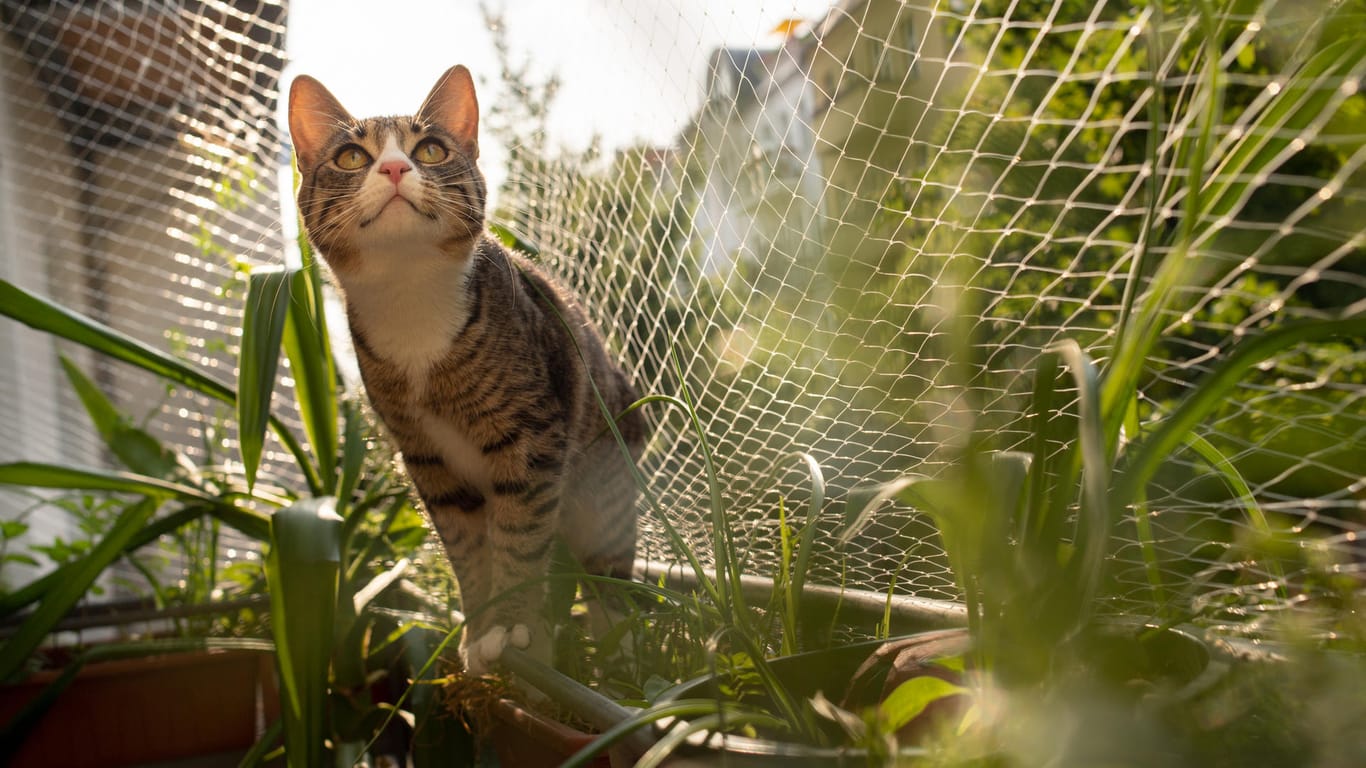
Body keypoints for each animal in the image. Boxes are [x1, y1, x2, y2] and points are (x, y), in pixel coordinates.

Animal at [286, 67, 644, 675]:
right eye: (351, 157)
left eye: (430, 149)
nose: (394, 167)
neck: (413, 307)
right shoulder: (429, 462)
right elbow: (466, 551)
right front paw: (480, 631)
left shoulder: (531, 437)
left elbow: (519, 536)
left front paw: (515, 627)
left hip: (605, 483)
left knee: (607, 580)